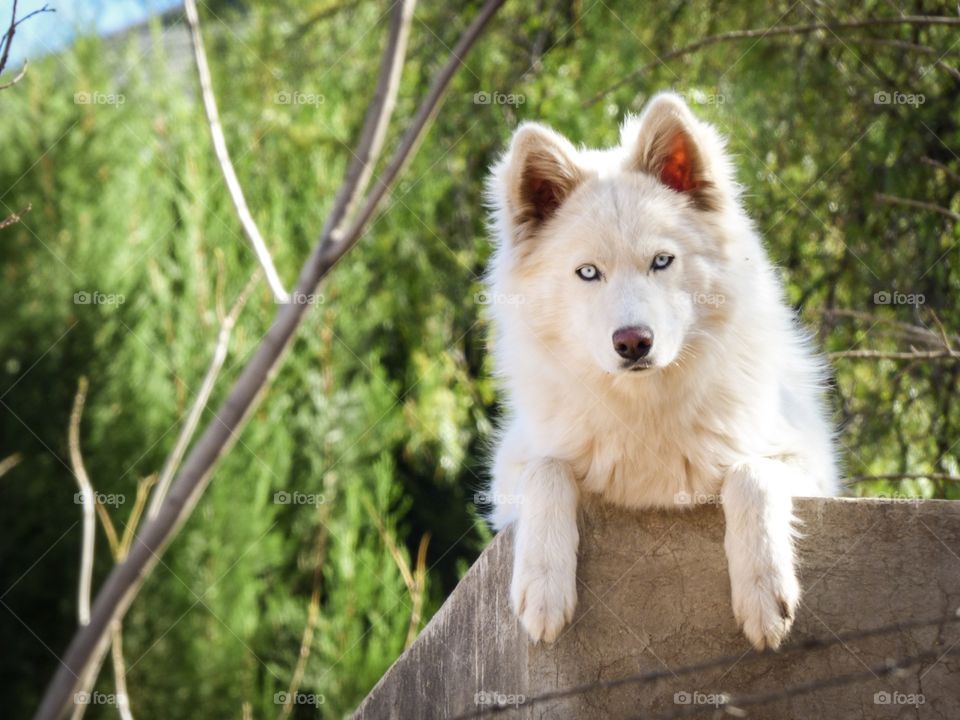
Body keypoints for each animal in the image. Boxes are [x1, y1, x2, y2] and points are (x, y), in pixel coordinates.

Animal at [484, 91, 836, 652]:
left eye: (662, 261)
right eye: (588, 272)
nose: (633, 343)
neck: (646, 407)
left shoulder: (807, 459)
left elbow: (751, 473)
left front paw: (764, 592)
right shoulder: (511, 468)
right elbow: (548, 471)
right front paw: (543, 587)